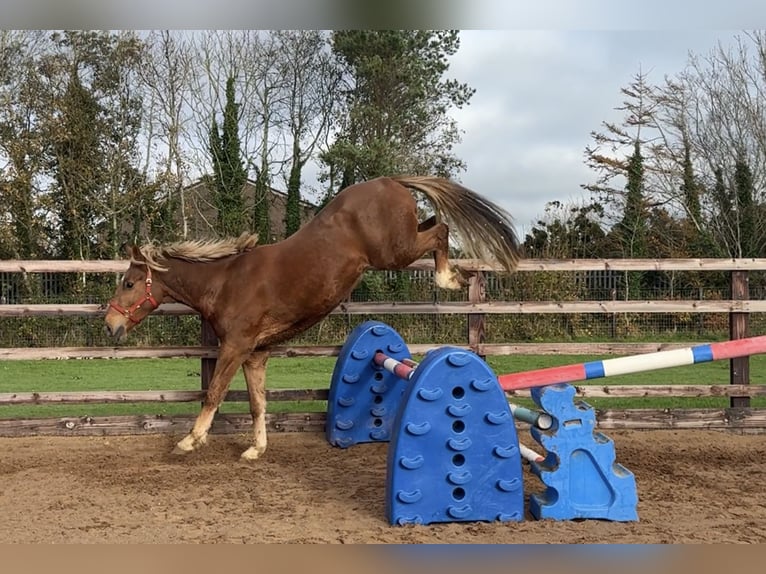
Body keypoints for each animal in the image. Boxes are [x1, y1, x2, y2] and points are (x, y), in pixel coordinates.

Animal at [104, 175, 522, 460]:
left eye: (128, 282)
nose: (110, 324)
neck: (225, 281)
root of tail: (390, 180)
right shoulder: (255, 354)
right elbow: (257, 402)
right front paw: (255, 449)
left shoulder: (235, 347)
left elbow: (214, 393)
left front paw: (189, 441)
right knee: (436, 223)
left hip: (395, 251)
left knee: (441, 230)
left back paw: (449, 277)